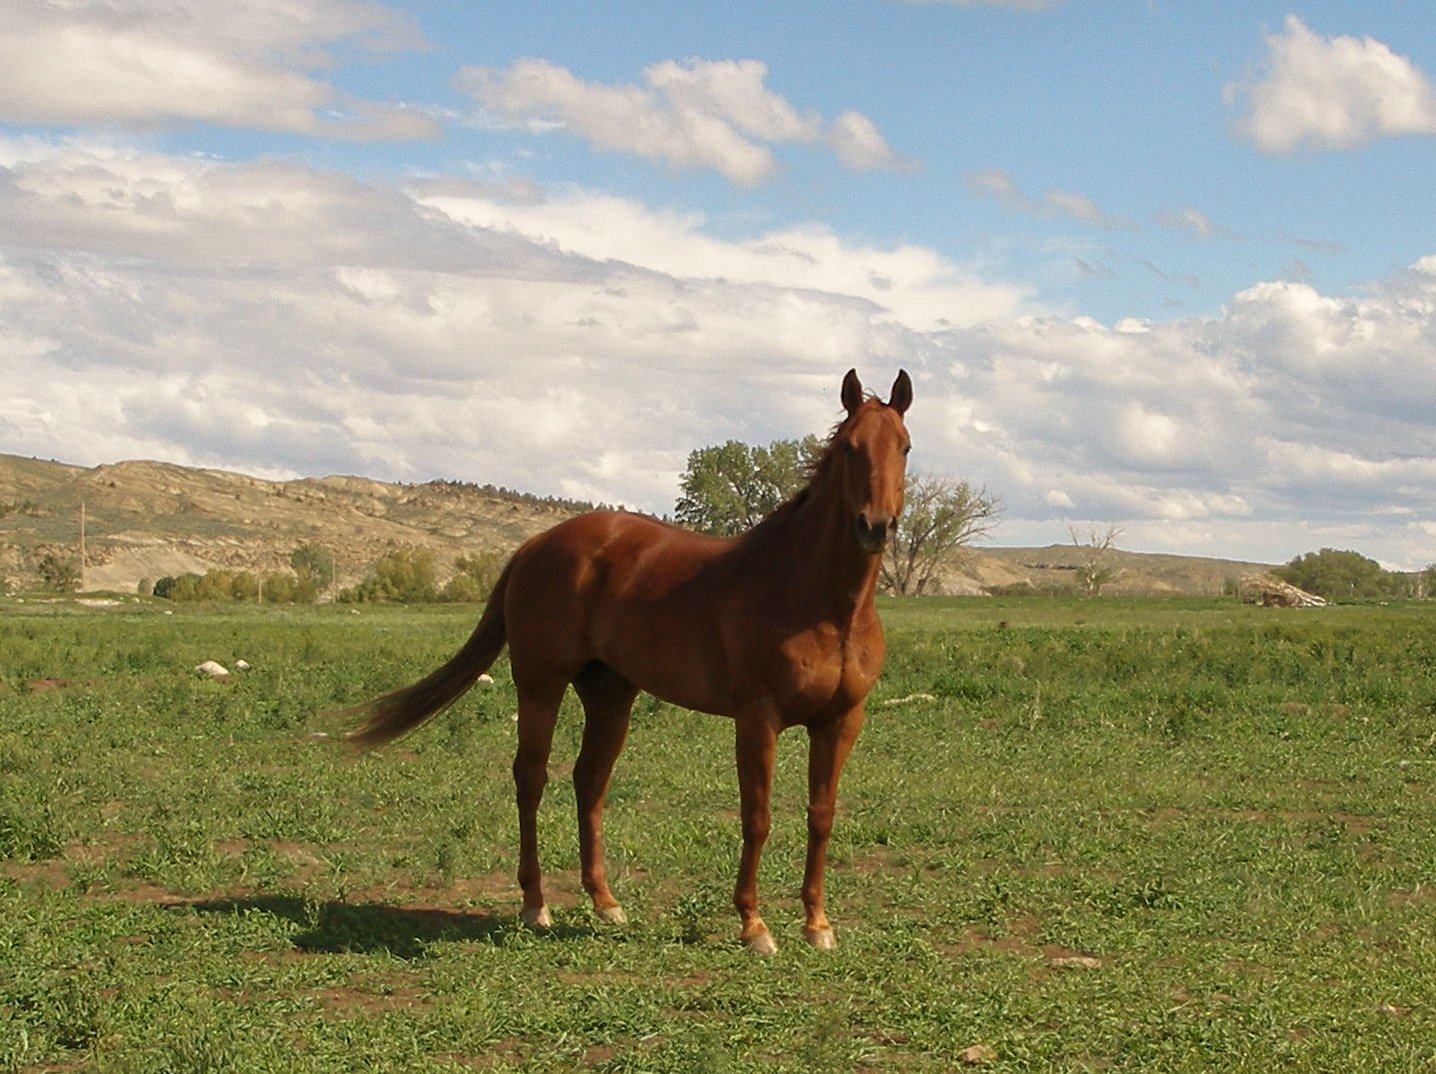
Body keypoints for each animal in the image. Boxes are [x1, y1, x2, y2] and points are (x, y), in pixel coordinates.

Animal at [341, 368, 913, 954]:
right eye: (850, 448)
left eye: (905, 447)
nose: (876, 526)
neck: (820, 603)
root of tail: (533, 546)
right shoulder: (758, 718)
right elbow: (757, 817)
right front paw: (754, 925)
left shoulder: (840, 721)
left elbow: (821, 817)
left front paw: (818, 924)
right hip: (540, 684)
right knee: (531, 777)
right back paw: (535, 904)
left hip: (610, 694)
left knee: (588, 781)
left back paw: (605, 901)